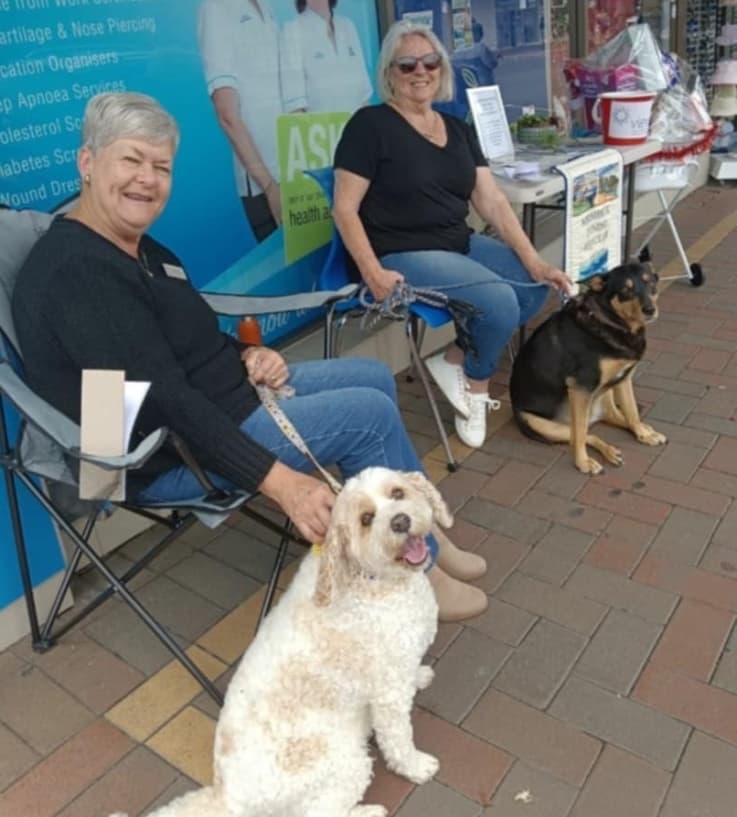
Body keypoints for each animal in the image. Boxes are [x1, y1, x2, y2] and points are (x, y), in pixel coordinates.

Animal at [110, 466, 452, 816]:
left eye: (397, 493)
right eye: (366, 519)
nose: (400, 521)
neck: (371, 580)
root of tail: (226, 796)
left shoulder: (398, 666)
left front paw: (419, 676)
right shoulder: (387, 695)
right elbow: (398, 739)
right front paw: (416, 766)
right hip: (344, 762)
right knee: (320, 811)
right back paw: (368, 811)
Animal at [512, 262, 668, 472]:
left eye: (649, 282)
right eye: (626, 290)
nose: (650, 309)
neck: (609, 322)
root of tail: (594, 416)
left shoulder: (624, 378)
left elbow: (632, 413)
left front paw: (642, 433)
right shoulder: (581, 387)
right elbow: (580, 435)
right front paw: (582, 462)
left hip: (605, 394)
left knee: (615, 417)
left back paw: (645, 430)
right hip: (543, 424)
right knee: (584, 434)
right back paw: (606, 453)